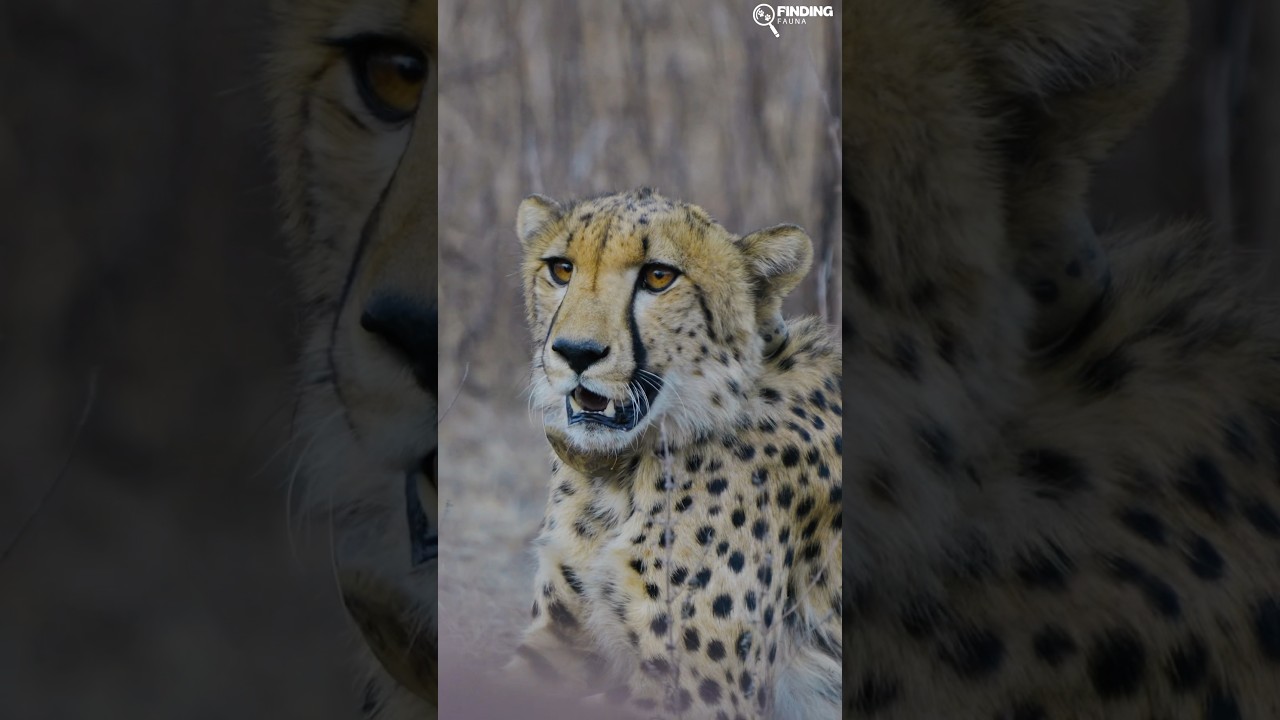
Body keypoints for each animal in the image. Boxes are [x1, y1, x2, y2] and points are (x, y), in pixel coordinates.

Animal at [504, 188, 843, 720]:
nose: (576, 352)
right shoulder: (558, 640)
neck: (616, 477)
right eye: (561, 269)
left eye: (659, 277)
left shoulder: (706, 695)